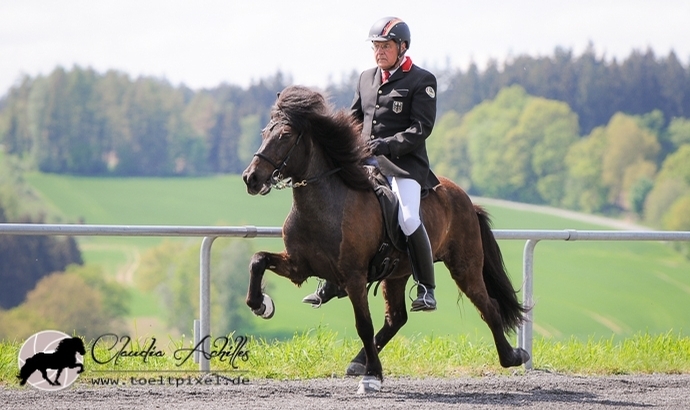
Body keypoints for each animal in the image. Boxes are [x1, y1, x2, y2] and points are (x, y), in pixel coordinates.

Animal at [239, 85, 528, 392]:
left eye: (284, 135)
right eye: (264, 133)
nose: (250, 178)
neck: (324, 205)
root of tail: (465, 199)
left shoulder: (354, 277)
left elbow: (363, 324)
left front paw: (372, 376)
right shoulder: (298, 266)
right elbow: (258, 260)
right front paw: (261, 304)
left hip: (465, 267)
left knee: (489, 307)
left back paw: (512, 356)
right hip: (397, 273)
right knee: (396, 319)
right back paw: (358, 361)